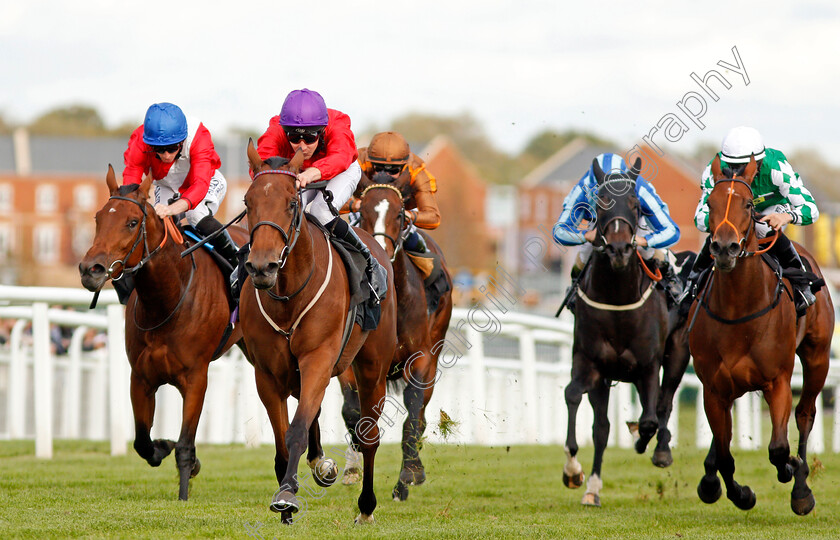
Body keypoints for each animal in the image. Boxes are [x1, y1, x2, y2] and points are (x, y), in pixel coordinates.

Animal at [77, 166, 249, 502]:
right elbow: (142, 442)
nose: (91, 269)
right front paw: (163, 447)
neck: (168, 300)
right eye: (98, 218)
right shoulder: (141, 377)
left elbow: (185, 445)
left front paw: (183, 491)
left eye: (132, 222)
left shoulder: (196, 378)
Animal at [238, 142, 398, 524]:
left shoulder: (318, 358)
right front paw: (287, 496)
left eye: (291, 203)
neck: (288, 294)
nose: (262, 266)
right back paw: (319, 463)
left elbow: (296, 429)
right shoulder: (267, 373)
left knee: (369, 434)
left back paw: (366, 506)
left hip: (372, 367)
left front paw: (287, 495)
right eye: (248, 202)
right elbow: (284, 435)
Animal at [338, 176, 452, 502]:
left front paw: (408, 476)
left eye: (400, 214)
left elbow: (413, 414)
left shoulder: (421, 359)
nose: (380, 250)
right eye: (362, 212)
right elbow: (353, 411)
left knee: (421, 413)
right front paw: (355, 464)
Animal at [564, 158, 688, 508]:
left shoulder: (648, 366)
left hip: (677, 355)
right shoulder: (590, 363)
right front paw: (573, 472)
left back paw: (660, 449)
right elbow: (573, 396)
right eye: (601, 204)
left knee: (664, 405)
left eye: (634, 204)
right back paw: (592, 488)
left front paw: (644, 440)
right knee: (602, 428)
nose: (619, 249)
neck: (618, 297)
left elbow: (650, 418)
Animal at [688, 155, 832, 516]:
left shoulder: (777, 380)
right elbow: (725, 454)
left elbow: (778, 447)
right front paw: (740, 493)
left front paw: (792, 471)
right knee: (721, 441)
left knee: (805, 414)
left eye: (749, 204)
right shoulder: (713, 388)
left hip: (818, 357)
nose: (724, 248)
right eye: (710, 203)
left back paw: (801, 485)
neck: (738, 309)